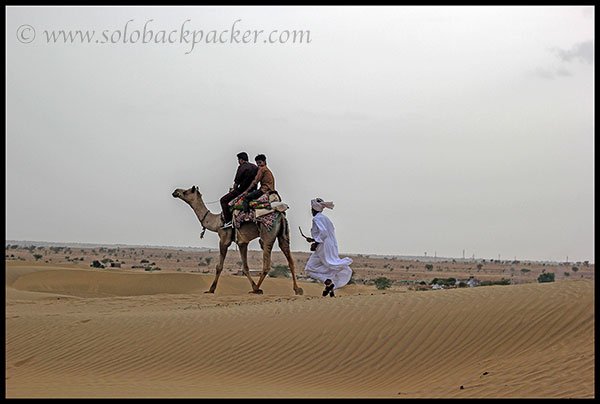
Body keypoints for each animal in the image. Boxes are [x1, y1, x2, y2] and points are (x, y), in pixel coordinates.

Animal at [172, 187, 304, 296]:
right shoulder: (242, 243)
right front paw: (254, 286)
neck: (216, 222)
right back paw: (297, 289)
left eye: (186, 191)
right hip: (283, 235)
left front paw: (210, 290)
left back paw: (256, 290)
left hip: (267, 235)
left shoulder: (224, 239)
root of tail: (280, 214)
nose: (175, 191)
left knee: (267, 265)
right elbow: (245, 267)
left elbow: (219, 266)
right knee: (290, 261)